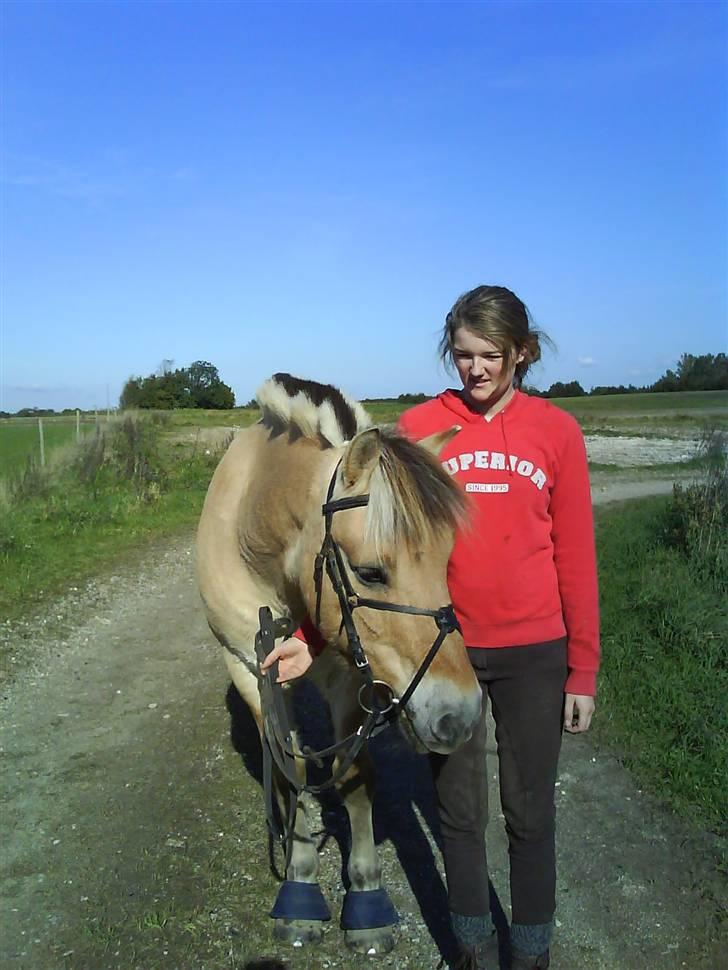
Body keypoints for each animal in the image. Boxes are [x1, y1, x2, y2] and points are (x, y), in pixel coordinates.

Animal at [196, 373, 482, 955]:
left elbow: (352, 776)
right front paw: (301, 883)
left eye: (447, 561)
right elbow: (293, 770)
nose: (460, 715)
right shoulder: (249, 668)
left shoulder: (350, 680)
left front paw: (367, 897)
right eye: (370, 573)